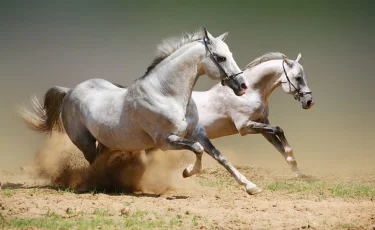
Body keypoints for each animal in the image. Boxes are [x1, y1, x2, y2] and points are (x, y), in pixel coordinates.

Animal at [19, 28, 264, 194]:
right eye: (221, 57)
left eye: (230, 54)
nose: (243, 86)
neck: (166, 94)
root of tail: (69, 91)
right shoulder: (164, 141)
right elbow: (197, 150)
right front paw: (187, 172)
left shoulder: (197, 132)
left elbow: (219, 156)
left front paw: (250, 186)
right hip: (84, 142)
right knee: (93, 163)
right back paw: (98, 184)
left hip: (106, 142)